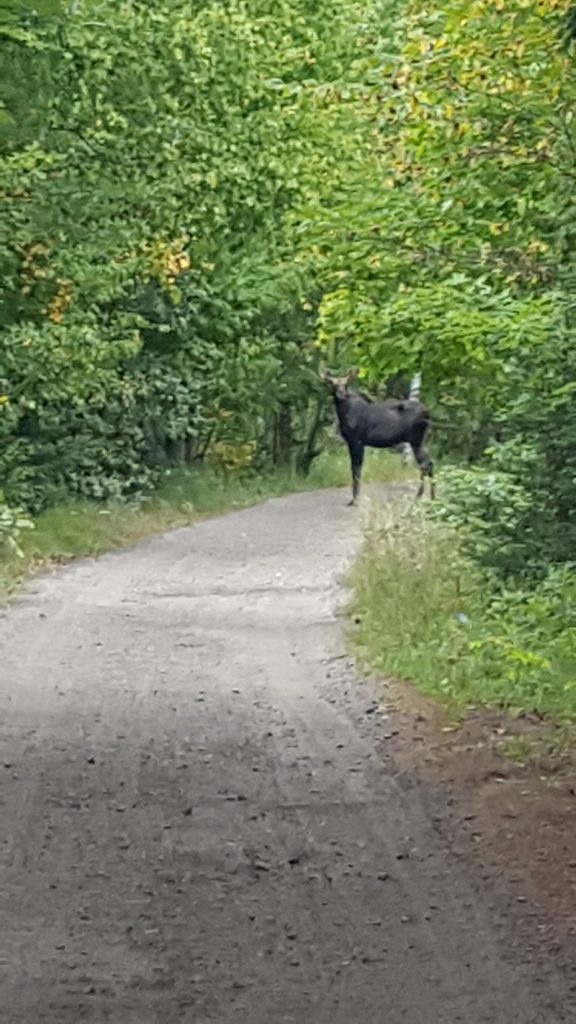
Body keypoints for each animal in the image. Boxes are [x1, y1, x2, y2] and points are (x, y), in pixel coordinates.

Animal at [319, 372, 432, 507]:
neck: (343, 412)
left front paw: (355, 500)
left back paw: (420, 496)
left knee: (425, 465)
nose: (342, 394)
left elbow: (356, 470)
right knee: (428, 463)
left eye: (345, 384)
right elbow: (355, 469)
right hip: (418, 441)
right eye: (333, 384)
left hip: (416, 440)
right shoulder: (355, 442)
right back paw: (431, 497)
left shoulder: (356, 441)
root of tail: (427, 413)